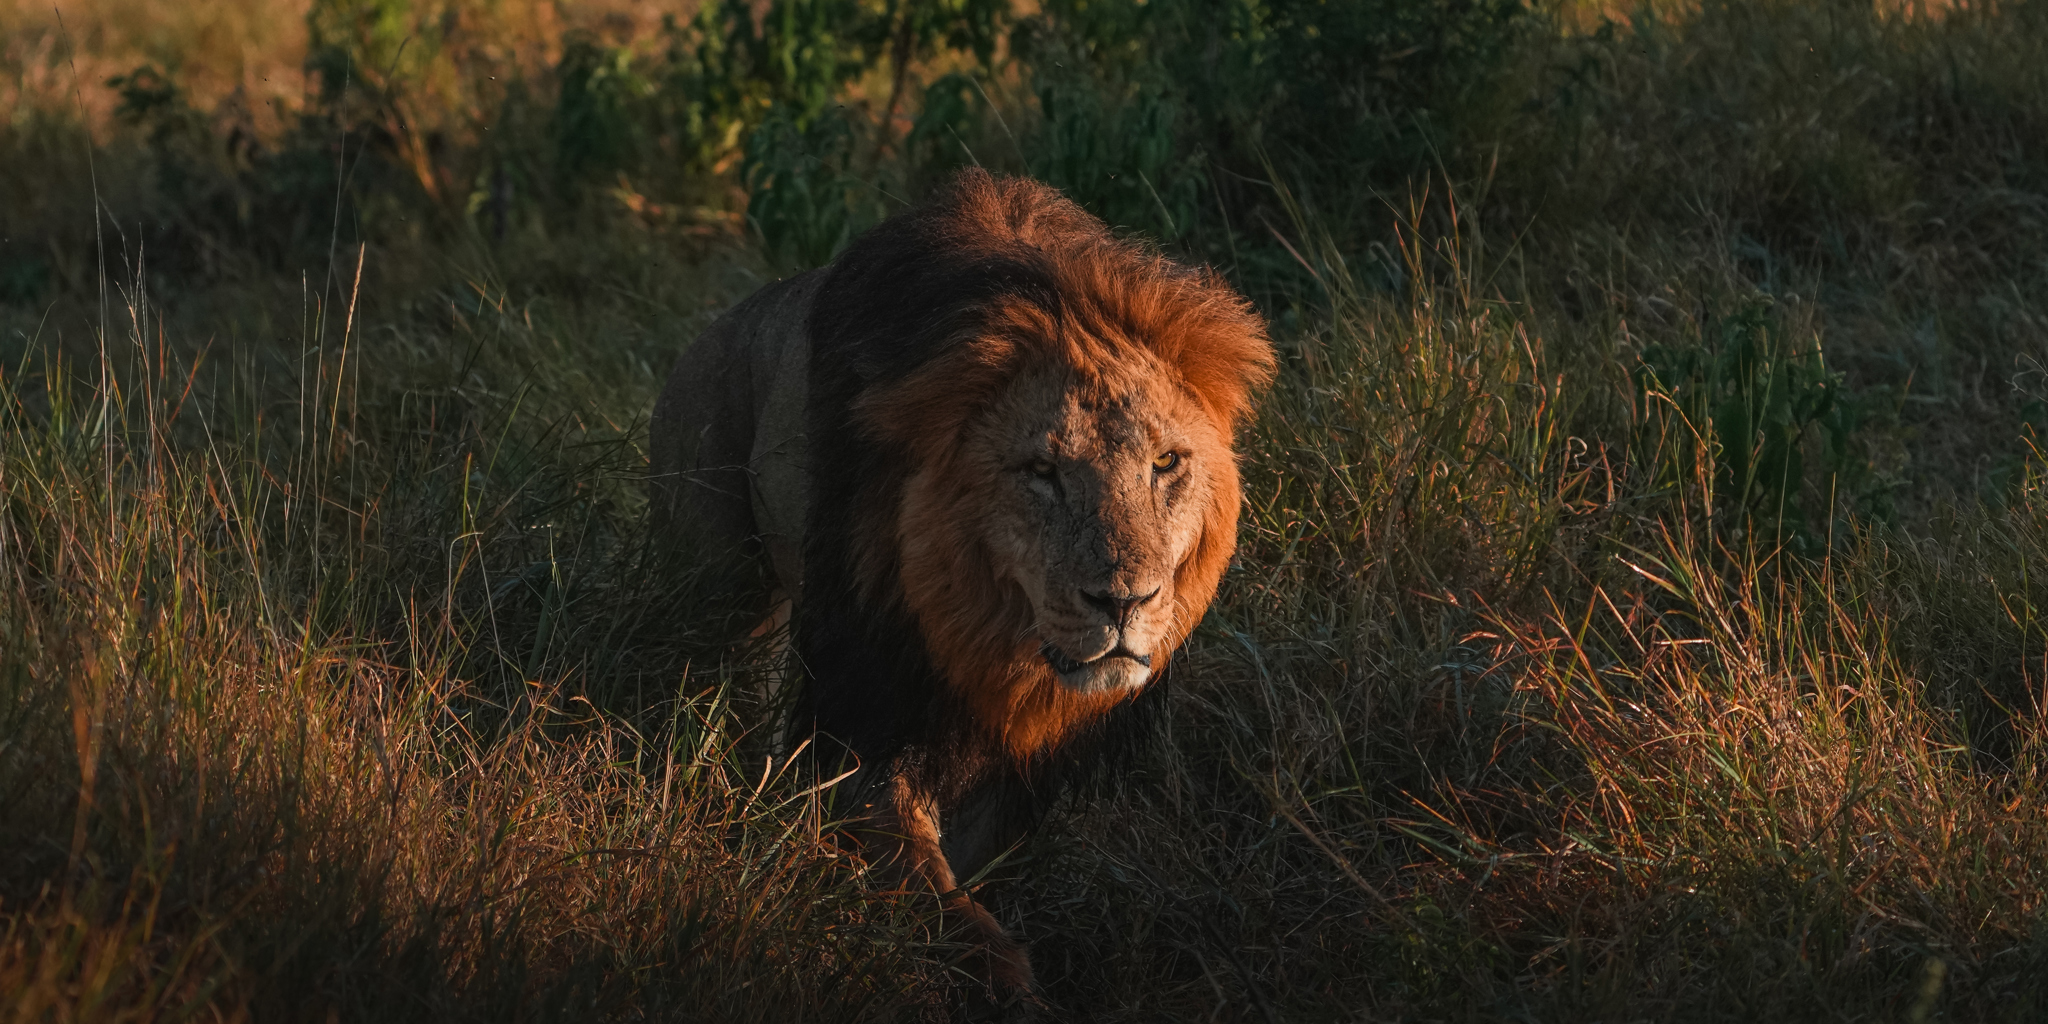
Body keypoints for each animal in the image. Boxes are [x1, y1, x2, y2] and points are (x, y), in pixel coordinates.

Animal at [649, 169, 1273, 1000]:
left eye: (1165, 463)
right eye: (1041, 472)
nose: (1124, 602)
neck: (997, 649)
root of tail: (706, 333)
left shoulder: (1026, 772)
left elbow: (971, 867)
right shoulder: (867, 707)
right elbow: (929, 886)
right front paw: (996, 977)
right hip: (713, 583)